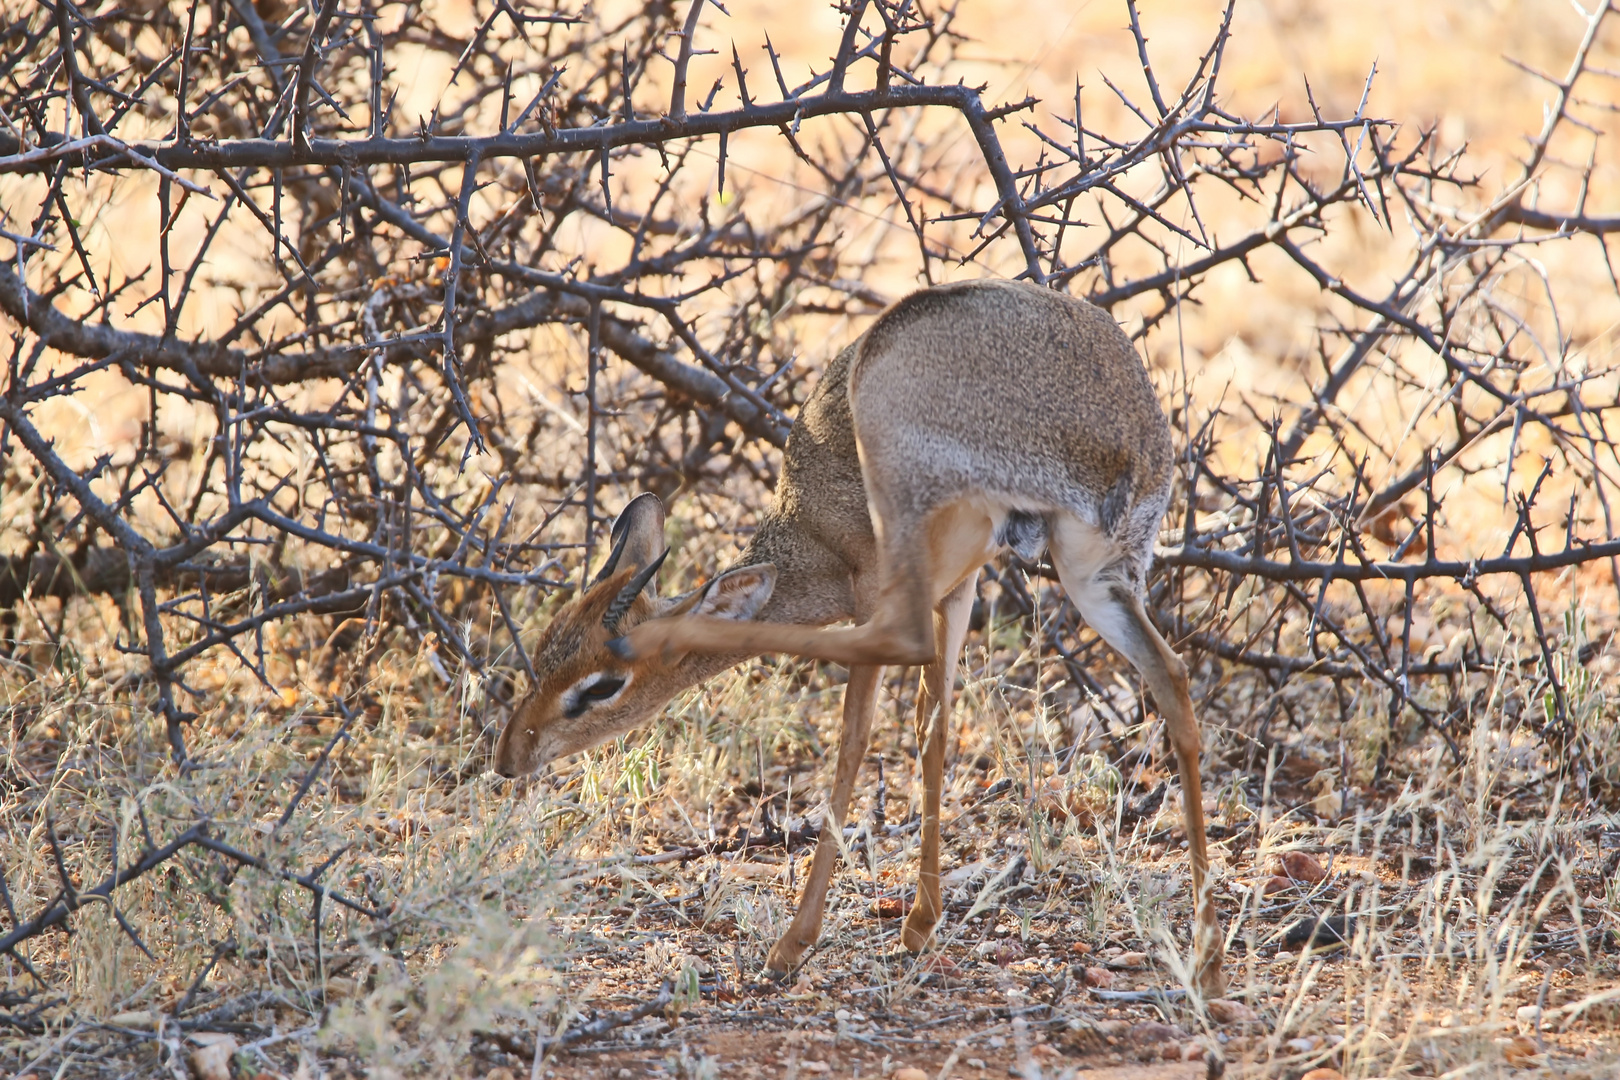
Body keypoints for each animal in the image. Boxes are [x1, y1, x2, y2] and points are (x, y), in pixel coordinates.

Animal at [492, 281, 1224, 997]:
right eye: (547, 646)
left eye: (599, 687)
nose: (508, 756)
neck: (812, 532)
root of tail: (1122, 434)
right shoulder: (959, 587)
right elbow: (934, 725)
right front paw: (921, 922)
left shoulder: (879, 587)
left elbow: (859, 733)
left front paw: (804, 942)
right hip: (1095, 576)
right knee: (1171, 676)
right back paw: (1207, 960)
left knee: (888, 661)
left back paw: (790, 943)